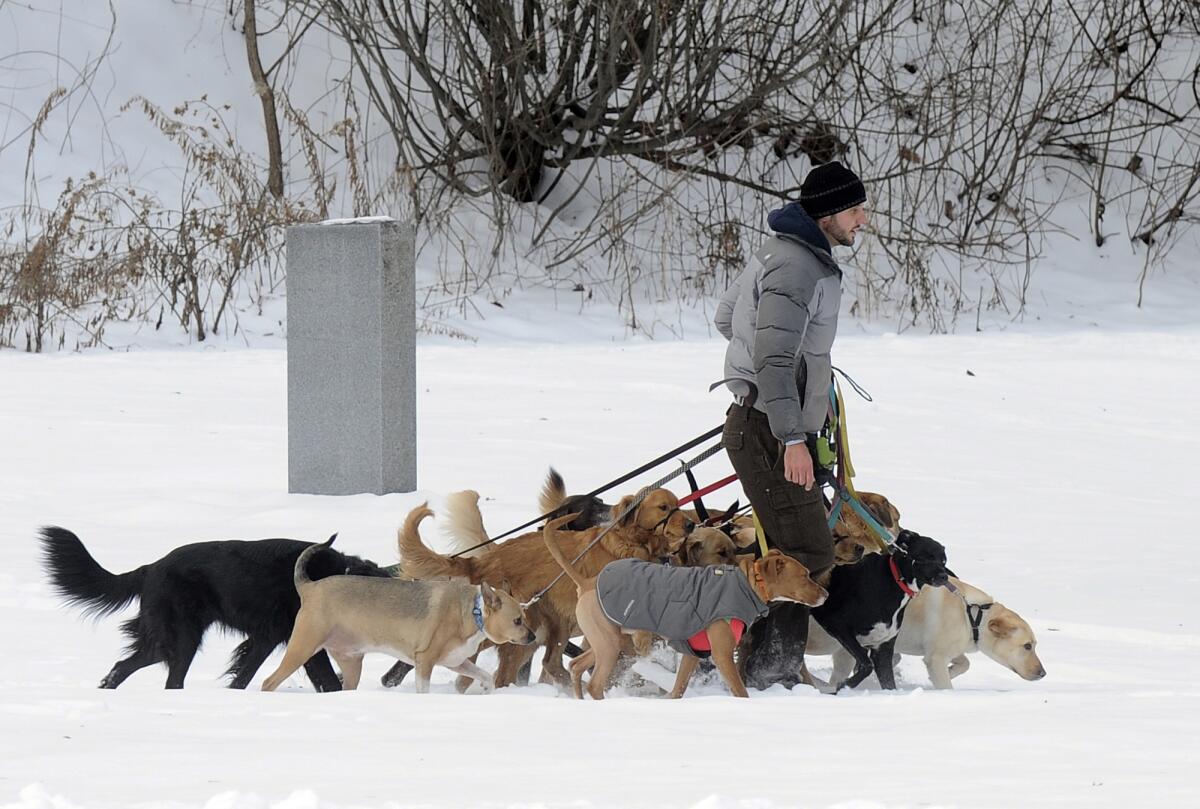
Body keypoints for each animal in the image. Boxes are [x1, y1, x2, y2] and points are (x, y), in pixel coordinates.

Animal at [398, 484, 691, 686]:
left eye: (677, 504)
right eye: (663, 507)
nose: (690, 523)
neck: (633, 544)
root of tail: (482, 560)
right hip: (521, 633)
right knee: (511, 673)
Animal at [542, 513, 825, 696]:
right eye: (805, 575)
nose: (825, 594)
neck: (745, 584)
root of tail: (588, 582)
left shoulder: (692, 653)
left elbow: (678, 687)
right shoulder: (721, 652)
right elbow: (739, 689)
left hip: (608, 641)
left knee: (576, 666)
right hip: (610, 644)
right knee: (594, 683)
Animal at [806, 573, 1051, 686]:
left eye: (1034, 645)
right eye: (1027, 646)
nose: (1043, 673)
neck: (972, 614)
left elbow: (965, 663)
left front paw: (951, 671)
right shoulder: (936, 656)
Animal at [811, 525, 950, 691]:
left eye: (943, 560)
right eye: (926, 556)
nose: (944, 577)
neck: (894, 581)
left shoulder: (882, 648)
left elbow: (888, 681)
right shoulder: (837, 625)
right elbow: (867, 666)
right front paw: (844, 685)